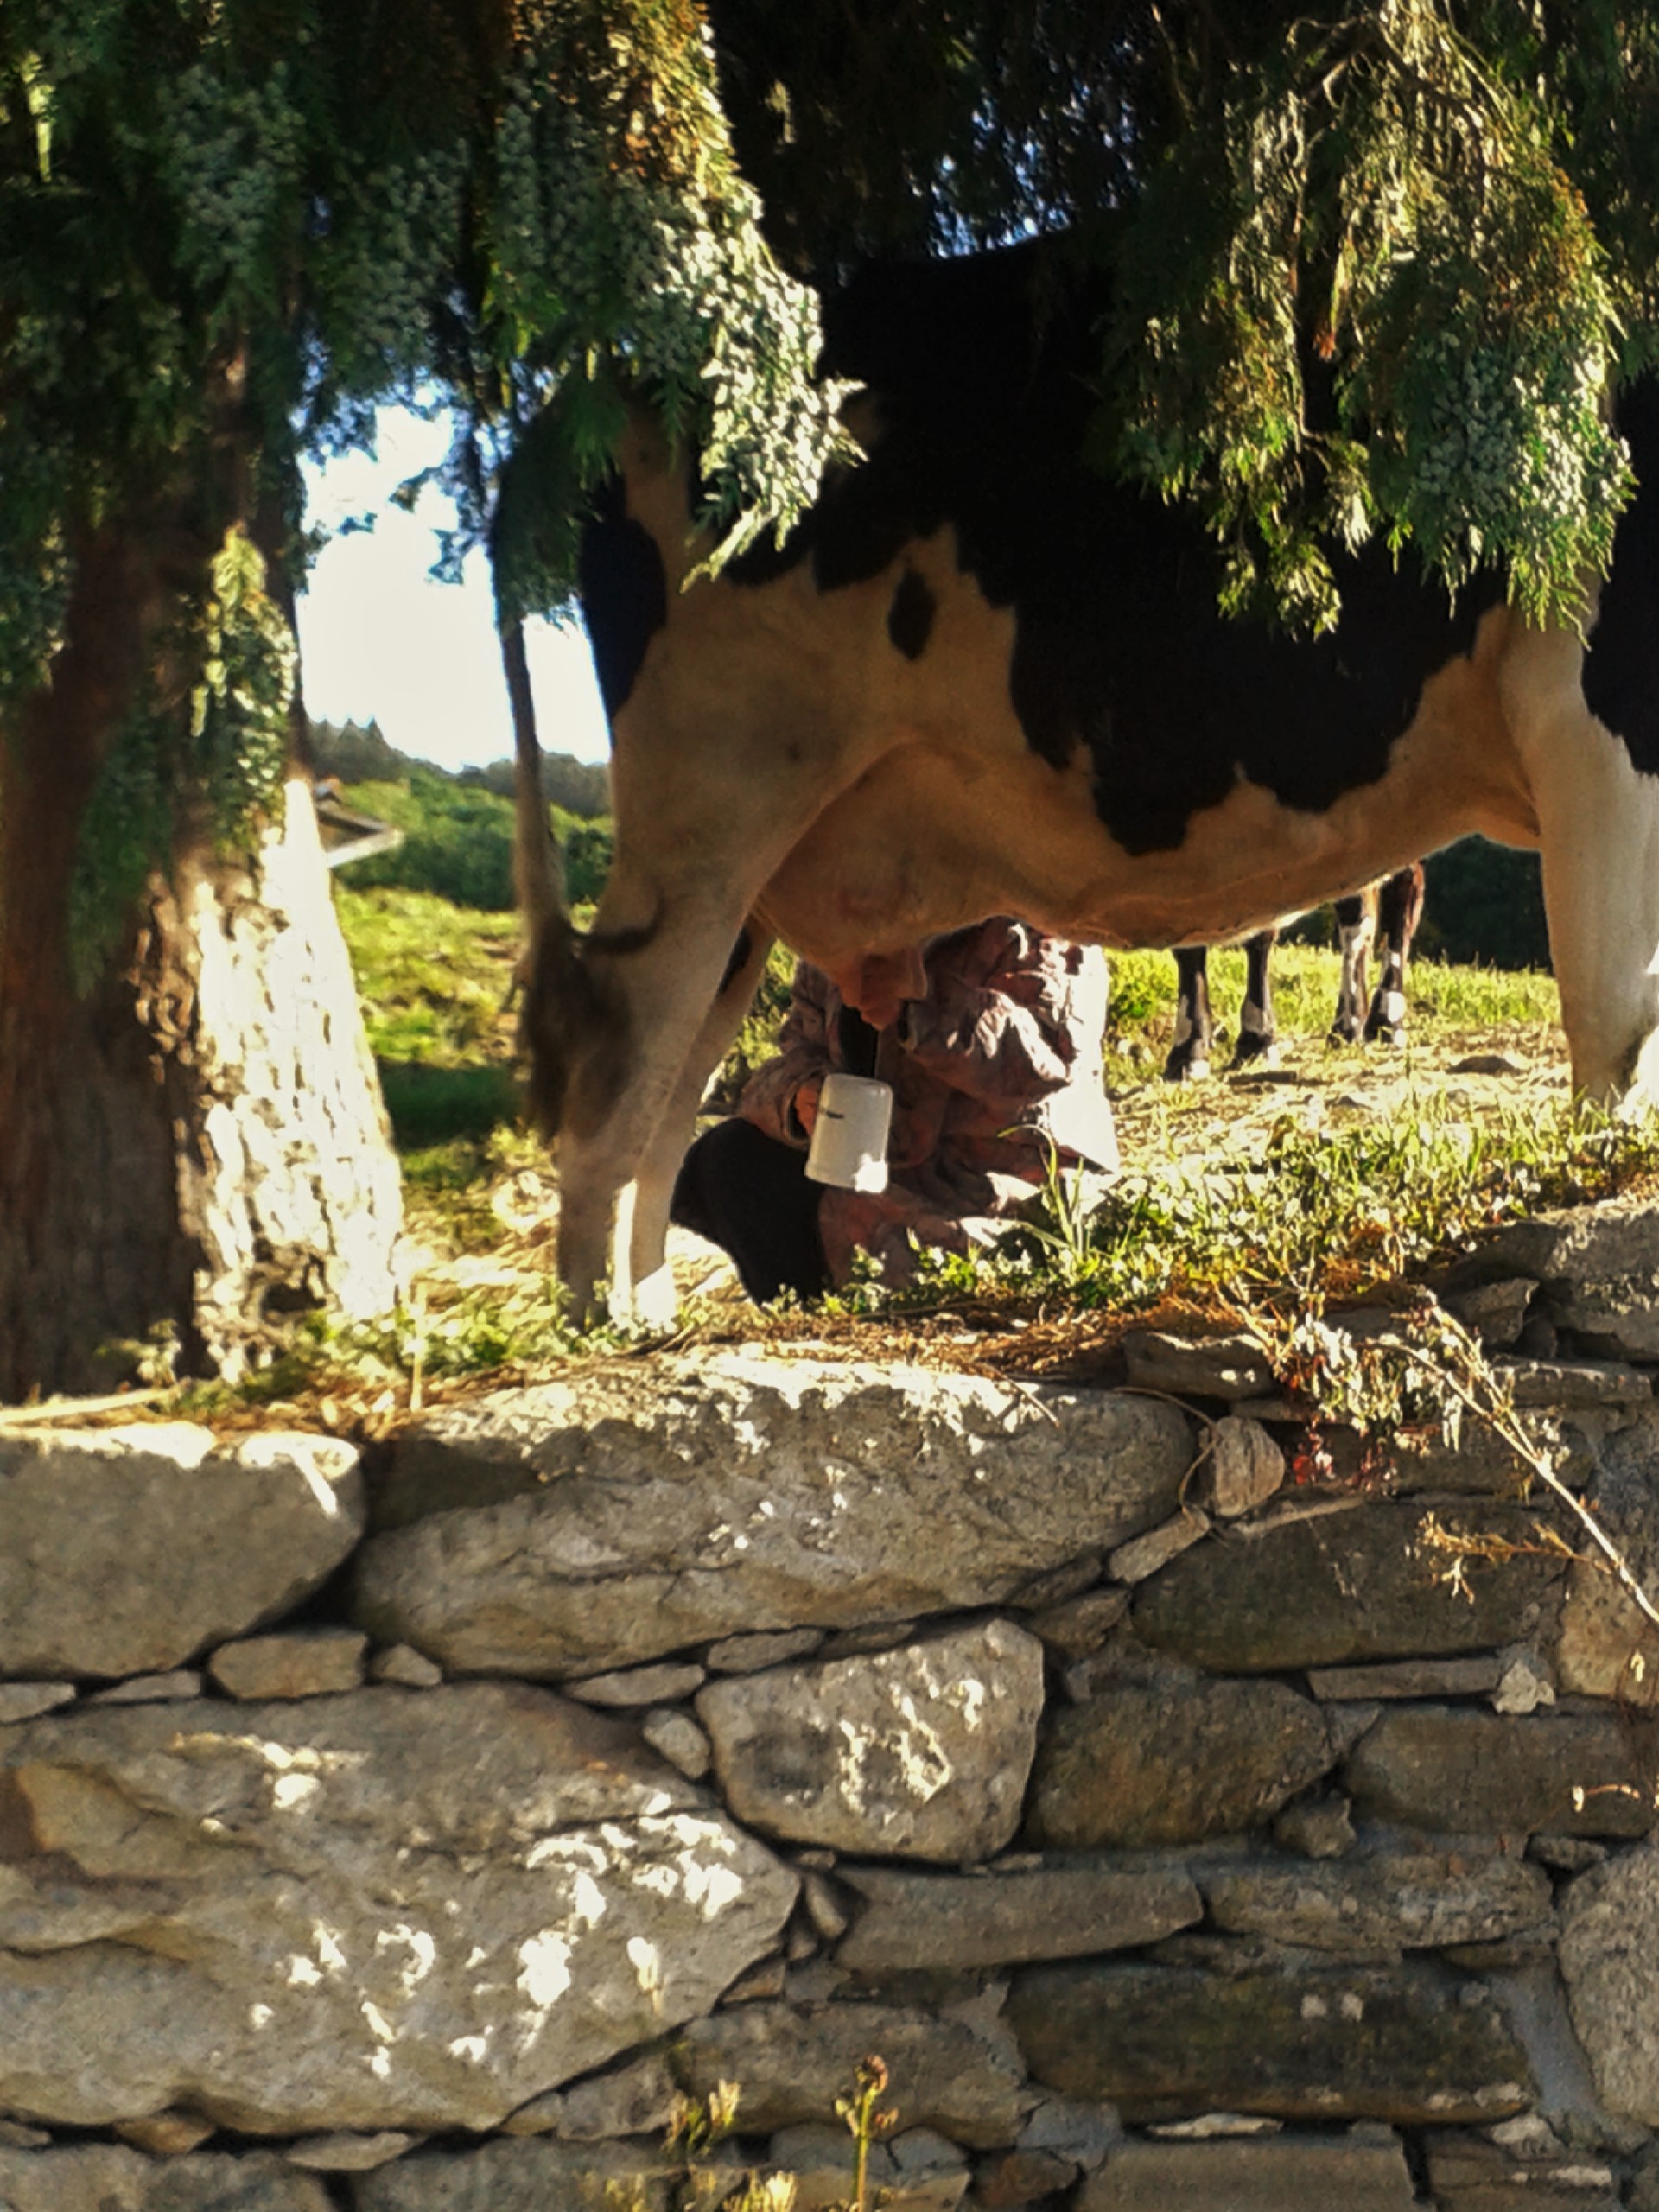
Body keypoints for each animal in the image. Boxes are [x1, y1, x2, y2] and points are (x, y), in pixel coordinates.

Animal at [528, 242, 1659, 1309]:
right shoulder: (1598, 714)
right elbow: (1615, 1020)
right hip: (712, 792)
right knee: (628, 1054)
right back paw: (608, 1318)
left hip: (753, 850)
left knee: (676, 1078)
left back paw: (649, 1306)